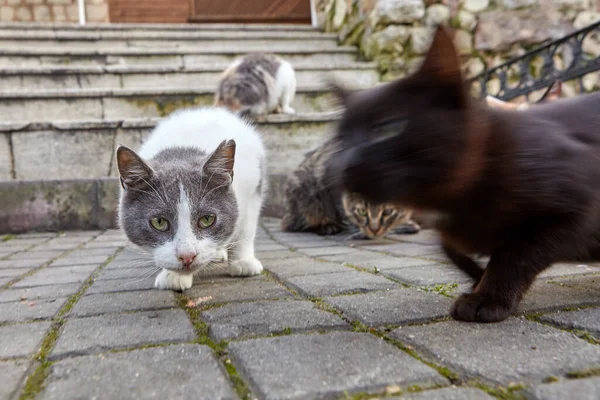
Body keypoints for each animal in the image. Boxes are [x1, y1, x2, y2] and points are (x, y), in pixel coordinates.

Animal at [116, 108, 266, 292]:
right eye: (159, 222)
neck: (182, 151)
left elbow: (246, 230)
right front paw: (173, 276)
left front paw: (243, 262)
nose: (187, 256)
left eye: (207, 219)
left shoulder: (253, 187)